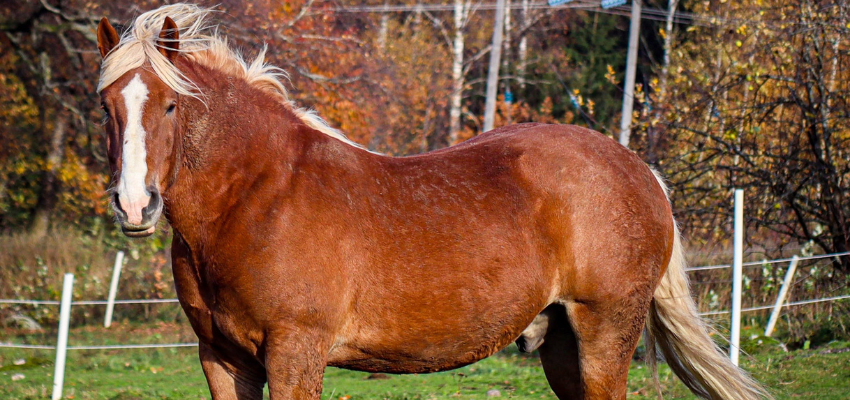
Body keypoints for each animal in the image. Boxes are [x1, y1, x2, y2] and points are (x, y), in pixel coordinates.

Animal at [94, 3, 768, 400]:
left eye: (171, 105)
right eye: (106, 105)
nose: (135, 206)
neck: (258, 198)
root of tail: (638, 171)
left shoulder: (295, 354)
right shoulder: (224, 361)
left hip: (605, 334)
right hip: (562, 348)